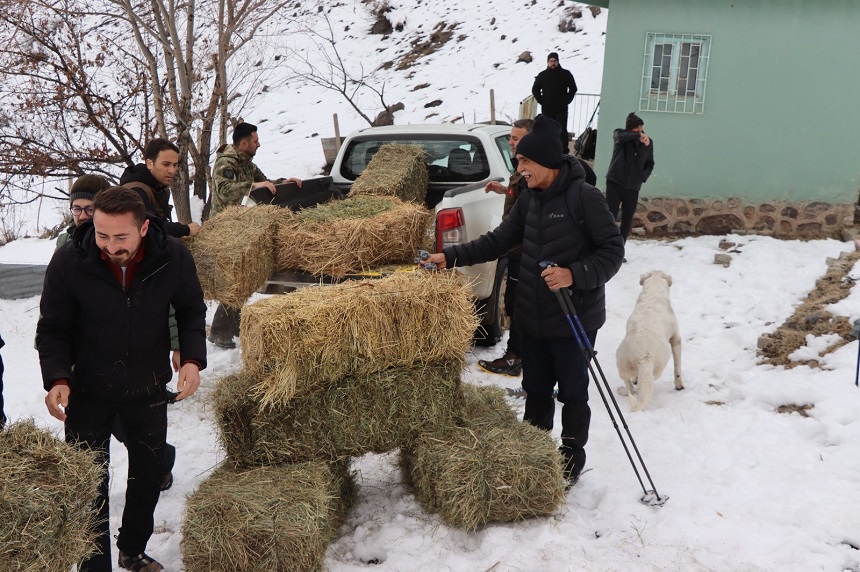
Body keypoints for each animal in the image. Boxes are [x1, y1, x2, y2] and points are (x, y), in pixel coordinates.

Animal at [616, 272, 680, 412]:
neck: (653, 291)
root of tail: (645, 355)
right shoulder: (676, 339)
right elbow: (677, 367)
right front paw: (679, 385)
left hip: (623, 360)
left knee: (631, 385)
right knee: (634, 388)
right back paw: (623, 390)